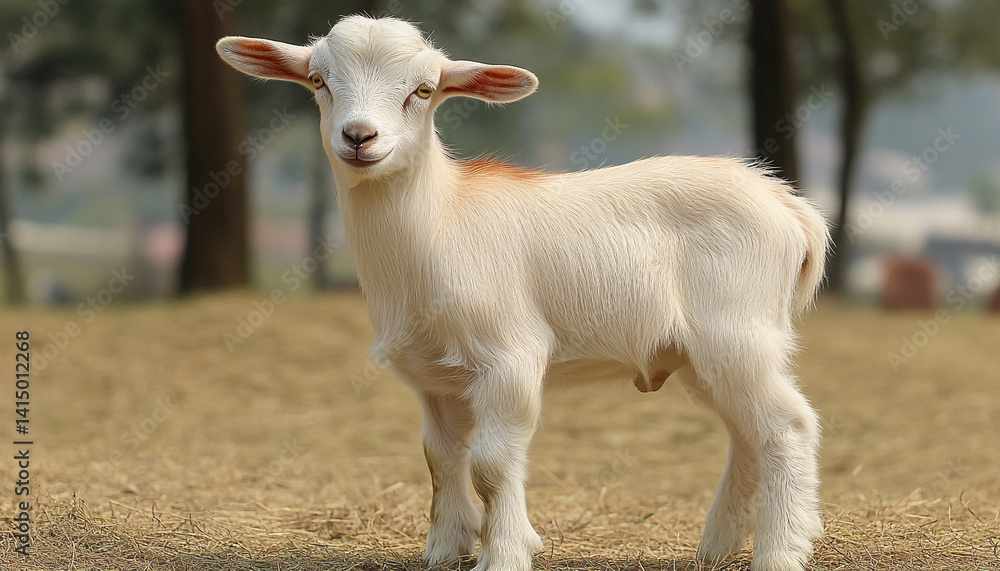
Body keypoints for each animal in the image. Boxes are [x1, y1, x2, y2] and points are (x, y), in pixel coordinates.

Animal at [217, 15, 829, 571]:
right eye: (319, 80)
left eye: (423, 90)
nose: (359, 137)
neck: (439, 224)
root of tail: (787, 204)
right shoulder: (433, 376)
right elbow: (440, 458)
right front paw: (444, 549)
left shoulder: (510, 357)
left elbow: (490, 464)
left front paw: (505, 552)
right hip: (702, 355)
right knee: (746, 434)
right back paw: (719, 546)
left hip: (738, 330)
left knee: (788, 427)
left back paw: (781, 552)